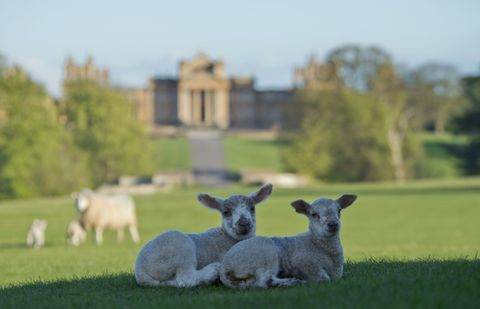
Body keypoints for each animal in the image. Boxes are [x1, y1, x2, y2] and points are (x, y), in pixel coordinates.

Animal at [134, 183, 274, 286]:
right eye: (226, 212)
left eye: (252, 208)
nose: (244, 223)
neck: (229, 237)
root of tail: (140, 272)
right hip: (178, 248)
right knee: (186, 279)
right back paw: (212, 271)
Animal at [219, 194, 358, 288]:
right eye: (314, 214)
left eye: (339, 210)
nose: (333, 224)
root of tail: (225, 269)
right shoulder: (303, 261)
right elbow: (324, 278)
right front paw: (305, 278)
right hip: (265, 254)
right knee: (264, 281)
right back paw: (294, 281)